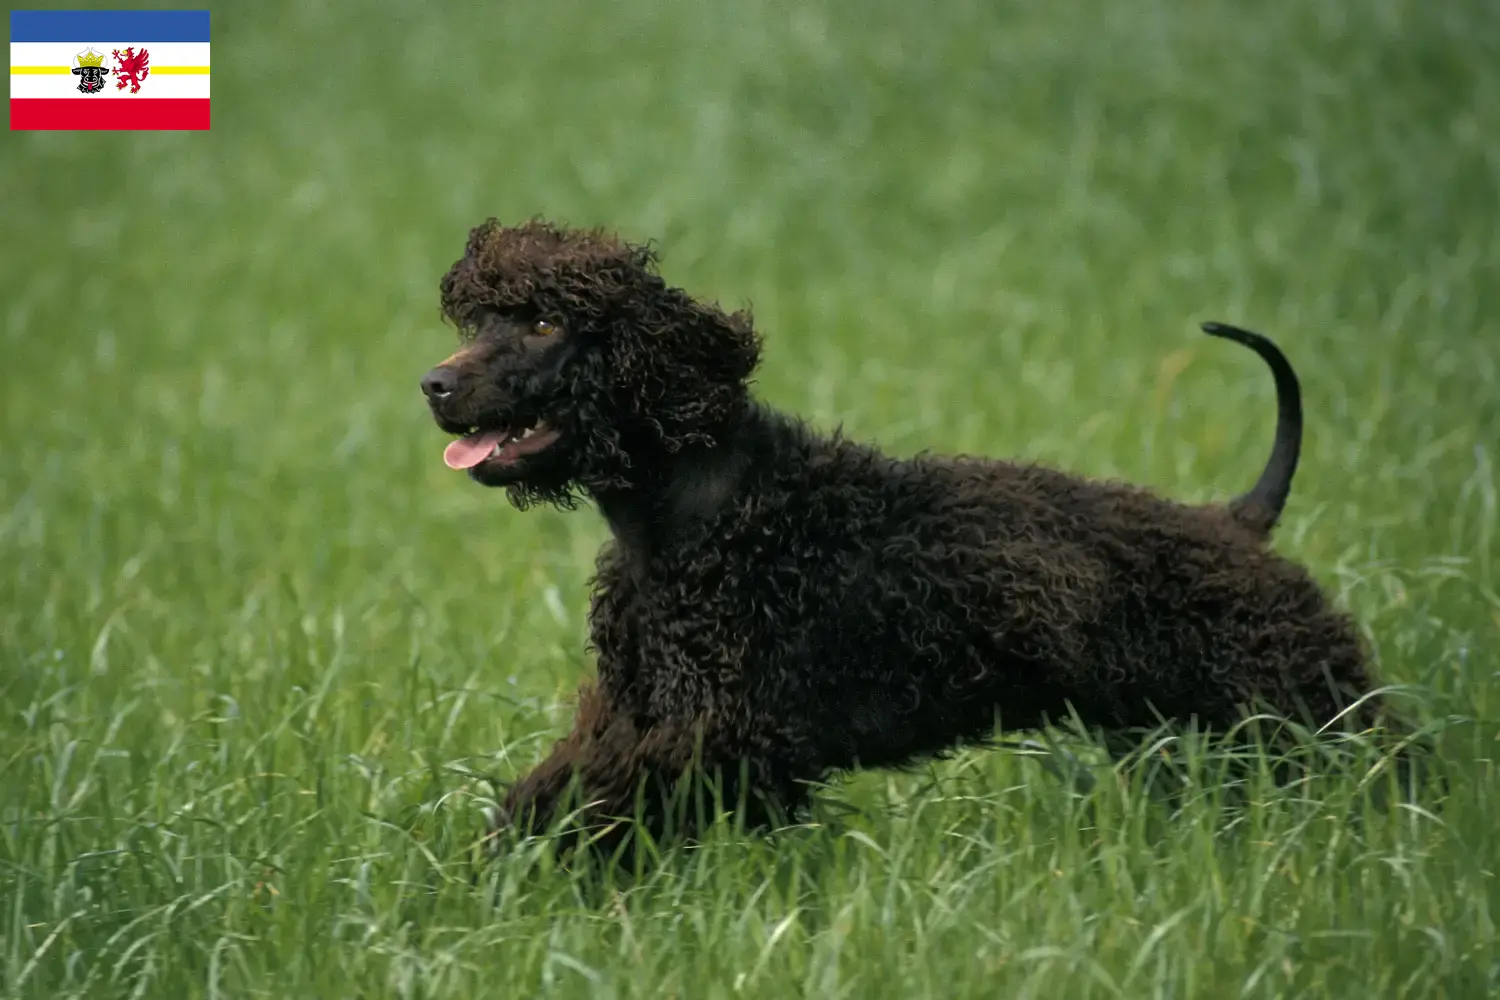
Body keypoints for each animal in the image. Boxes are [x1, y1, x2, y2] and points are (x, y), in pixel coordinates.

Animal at [420, 218, 1392, 863]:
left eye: (548, 323)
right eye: (480, 323)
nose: (433, 383)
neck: (698, 510)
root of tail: (1234, 519)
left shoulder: (721, 733)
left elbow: (605, 801)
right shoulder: (640, 710)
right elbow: (551, 792)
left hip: (1300, 700)